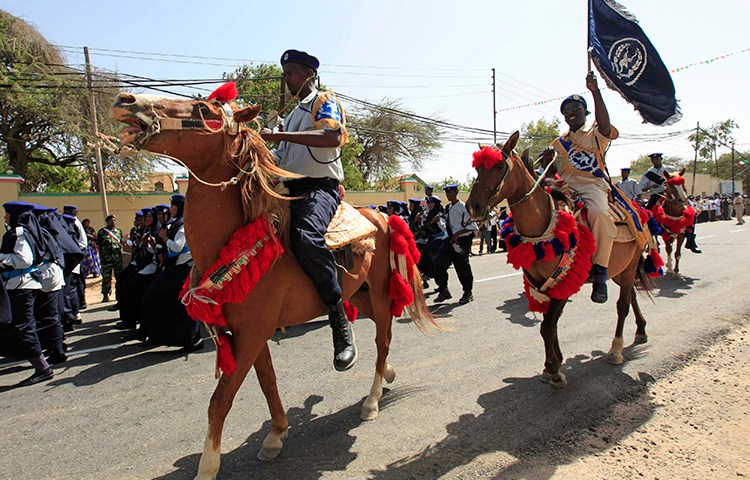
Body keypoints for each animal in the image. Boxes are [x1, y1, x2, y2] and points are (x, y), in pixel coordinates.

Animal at [109, 92, 438, 478]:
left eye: (204, 110)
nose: (126, 100)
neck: (234, 238)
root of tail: (383, 216)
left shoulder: (252, 332)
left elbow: (220, 400)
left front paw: (208, 465)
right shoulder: (248, 332)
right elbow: (267, 383)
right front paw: (276, 435)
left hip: (383, 294)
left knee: (382, 340)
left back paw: (370, 397)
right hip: (361, 295)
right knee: (374, 331)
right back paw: (388, 375)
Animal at [468, 131, 656, 390]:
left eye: (499, 165)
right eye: (477, 168)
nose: (473, 207)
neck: (543, 227)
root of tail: (637, 209)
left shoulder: (563, 281)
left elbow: (548, 325)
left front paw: (554, 370)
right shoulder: (540, 284)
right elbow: (550, 324)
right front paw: (554, 363)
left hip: (628, 270)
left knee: (622, 306)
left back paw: (616, 350)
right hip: (620, 270)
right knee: (632, 297)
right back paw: (641, 330)